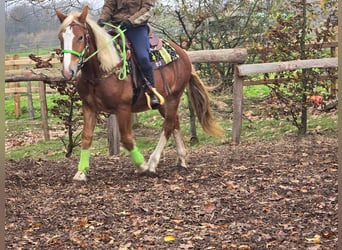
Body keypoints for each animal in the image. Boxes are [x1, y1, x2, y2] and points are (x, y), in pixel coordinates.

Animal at [54, 6, 223, 182]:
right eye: (61, 37)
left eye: (80, 37)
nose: (68, 71)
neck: (103, 70)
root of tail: (183, 54)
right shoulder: (89, 107)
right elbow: (87, 137)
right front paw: (81, 172)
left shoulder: (123, 108)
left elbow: (127, 139)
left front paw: (142, 166)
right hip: (162, 102)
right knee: (175, 121)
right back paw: (181, 159)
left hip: (174, 97)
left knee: (168, 125)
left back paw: (153, 164)